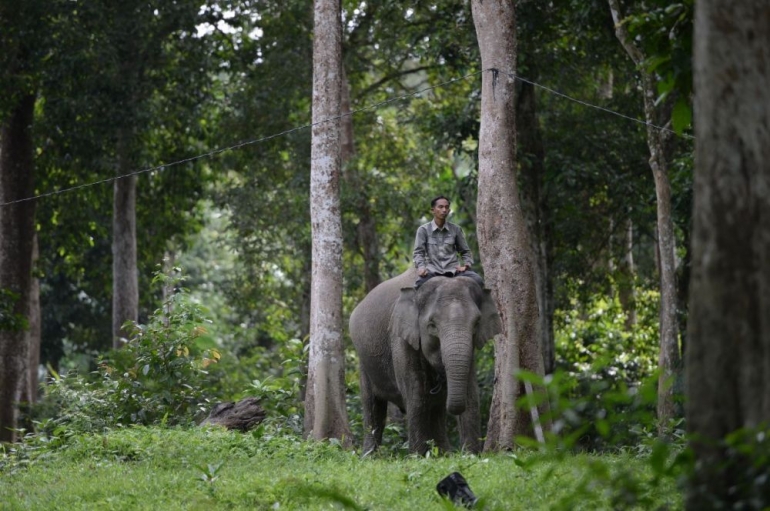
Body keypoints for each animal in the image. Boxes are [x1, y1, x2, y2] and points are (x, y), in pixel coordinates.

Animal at [346, 266, 498, 454]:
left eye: (477, 323)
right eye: (431, 325)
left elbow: (471, 395)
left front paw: (470, 455)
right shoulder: (401, 340)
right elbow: (416, 394)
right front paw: (417, 455)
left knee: (436, 409)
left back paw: (442, 452)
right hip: (364, 360)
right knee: (372, 405)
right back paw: (369, 456)